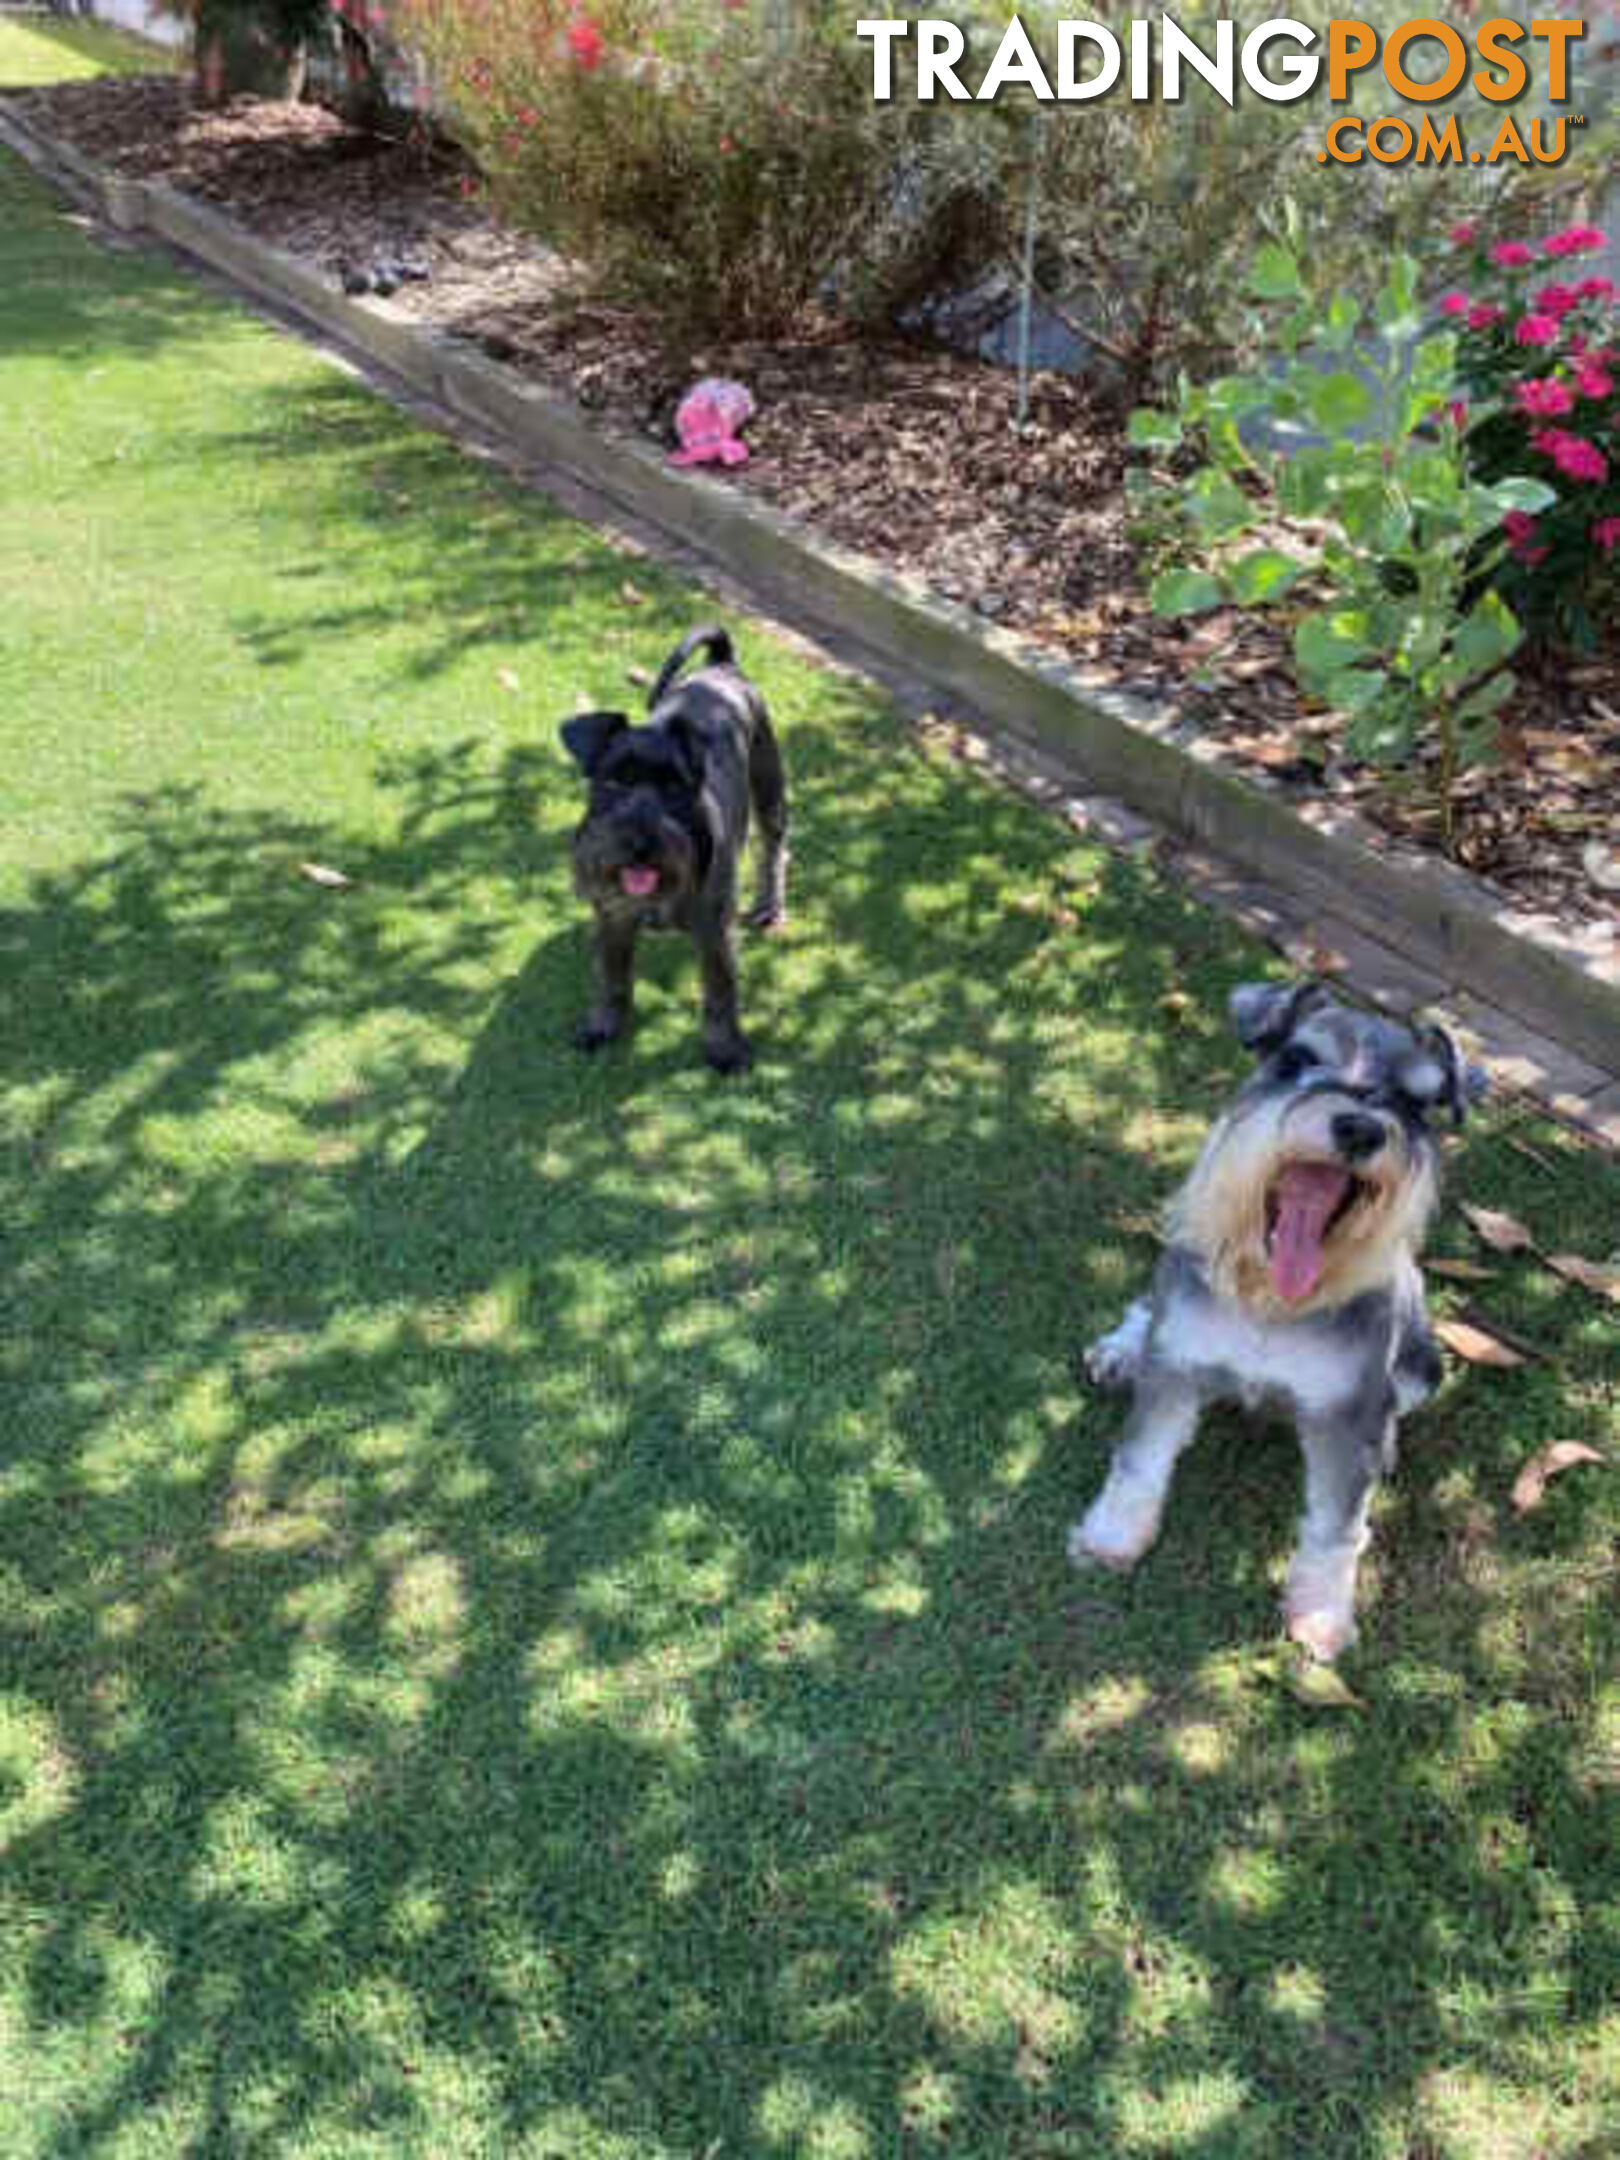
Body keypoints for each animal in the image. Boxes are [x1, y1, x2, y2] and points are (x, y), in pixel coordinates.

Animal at [561, 626, 790, 1071]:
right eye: (614, 780)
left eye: (674, 785)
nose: (638, 844)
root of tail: (722, 664)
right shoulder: (613, 920)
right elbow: (611, 978)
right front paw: (603, 1026)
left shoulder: (715, 935)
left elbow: (720, 995)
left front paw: (724, 1049)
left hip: (769, 787)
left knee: (773, 847)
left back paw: (768, 906)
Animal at [1071, 989, 1494, 1658]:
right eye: (1297, 1058)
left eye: (1415, 1102)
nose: (1360, 1127)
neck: (1270, 1301)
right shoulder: (1176, 1366)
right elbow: (1139, 1460)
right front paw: (1110, 1536)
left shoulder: (1345, 1421)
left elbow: (1335, 1531)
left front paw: (1321, 1615)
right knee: (1147, 1306)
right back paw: (1121, 1349)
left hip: (1423, 1362)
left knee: (1396, 1403)